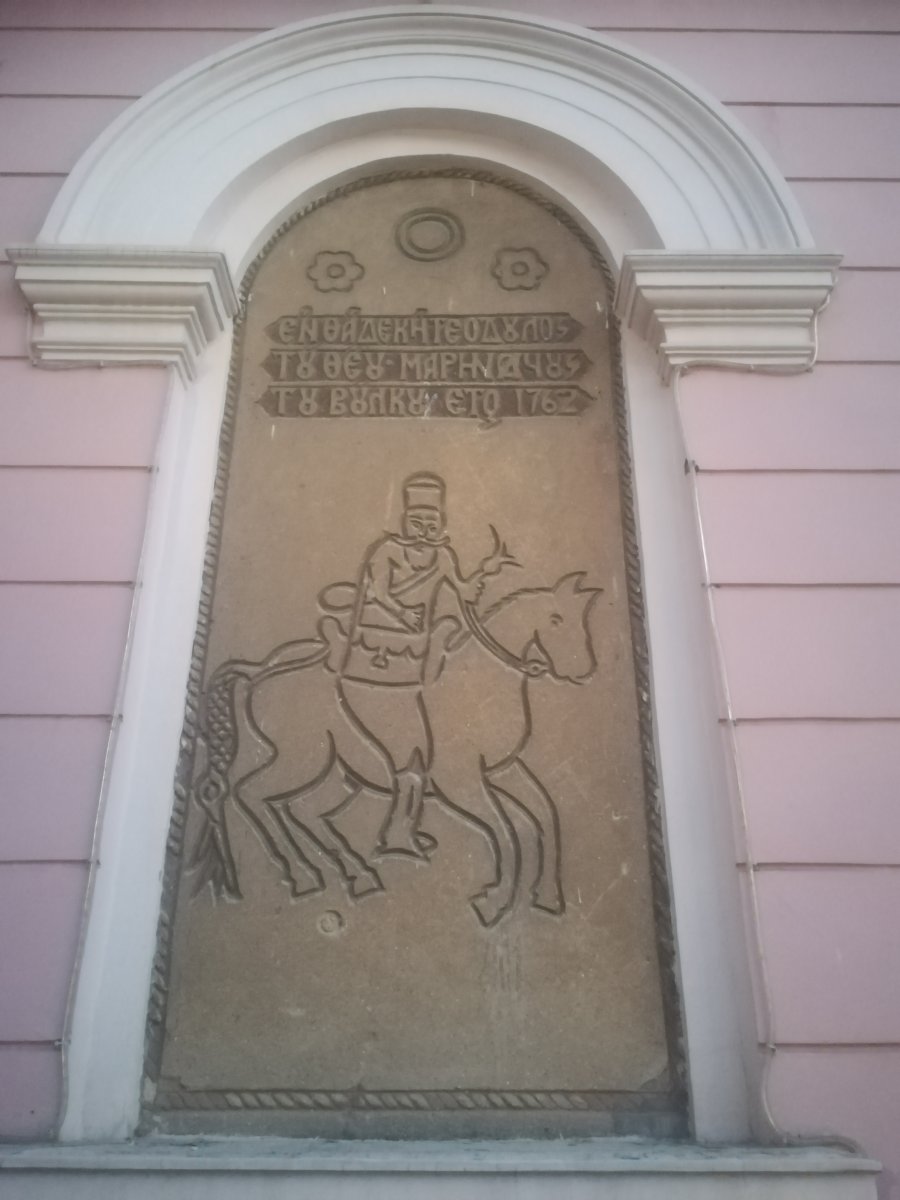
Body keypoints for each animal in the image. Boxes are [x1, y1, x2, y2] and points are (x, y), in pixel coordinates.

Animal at [188, 572, 600, 928]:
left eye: (582, 620)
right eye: (556, 618)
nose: (583, 670)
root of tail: (260, 673)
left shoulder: (503, 770)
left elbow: (542, 814)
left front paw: (545, 896)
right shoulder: (461, 781)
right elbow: (505, 827)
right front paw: (496, 901)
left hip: (339, 774)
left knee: (304, 810)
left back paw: (358, 874)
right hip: (304, 760)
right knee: (251, 793)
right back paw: (304, 875)